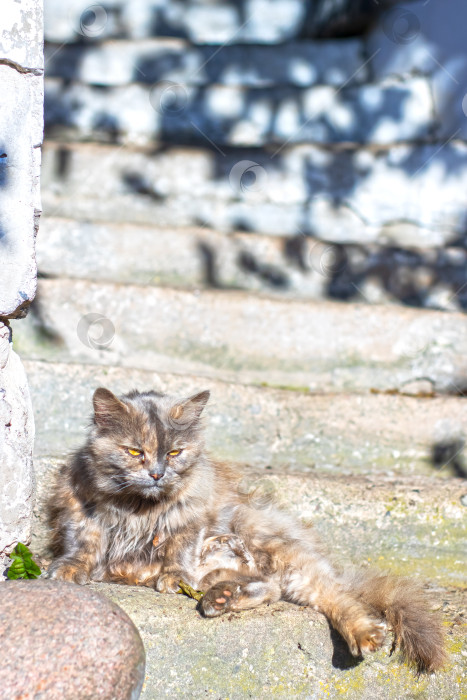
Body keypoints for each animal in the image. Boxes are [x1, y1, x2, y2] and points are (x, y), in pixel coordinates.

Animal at [47, 388, 446, 672]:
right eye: (134, 452)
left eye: (175, 453)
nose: (157, 473)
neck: (139, 507)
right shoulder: (82, 509)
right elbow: (83, 544)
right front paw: (67, 569)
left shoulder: (193, 518)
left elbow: (178, 549)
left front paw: (172, 577)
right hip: (239, 564)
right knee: (268, 588)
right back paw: (222, 599)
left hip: (267, 543)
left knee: (334, 598)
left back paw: (364, 635)